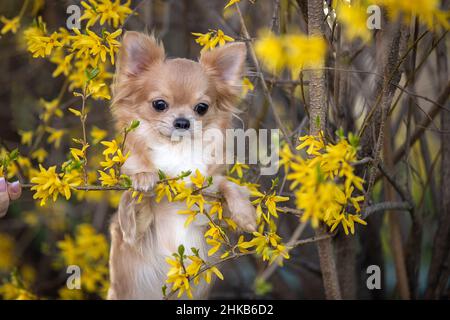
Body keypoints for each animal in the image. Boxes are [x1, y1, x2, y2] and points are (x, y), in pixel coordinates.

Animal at [106, 31, 258, 298]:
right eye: (159, 104)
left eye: (201, 108)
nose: (183, 122)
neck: (175, 152)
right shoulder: (134, 233)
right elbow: (131, 197)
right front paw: (144, 178)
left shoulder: (211, 212)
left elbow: (227, 185)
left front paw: (245, 212)